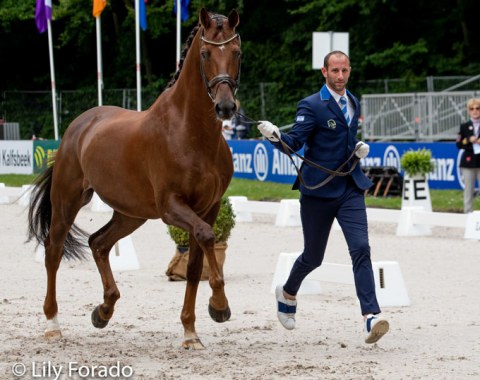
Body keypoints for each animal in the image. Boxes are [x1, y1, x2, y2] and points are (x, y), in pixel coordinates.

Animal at [26, 7, 240, 350]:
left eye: (237, 52)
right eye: (206, 53)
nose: (226, 107)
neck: (191, 132)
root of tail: (80, 125)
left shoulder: (208, 208)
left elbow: (196, 266)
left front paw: (191, 332)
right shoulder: (171, 207)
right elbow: (207, 238)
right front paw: (219, 307)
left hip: (131, 214)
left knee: (98, 243)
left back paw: (103, 310)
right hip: (68, 201)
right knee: (53, 251)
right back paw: (53, 323)